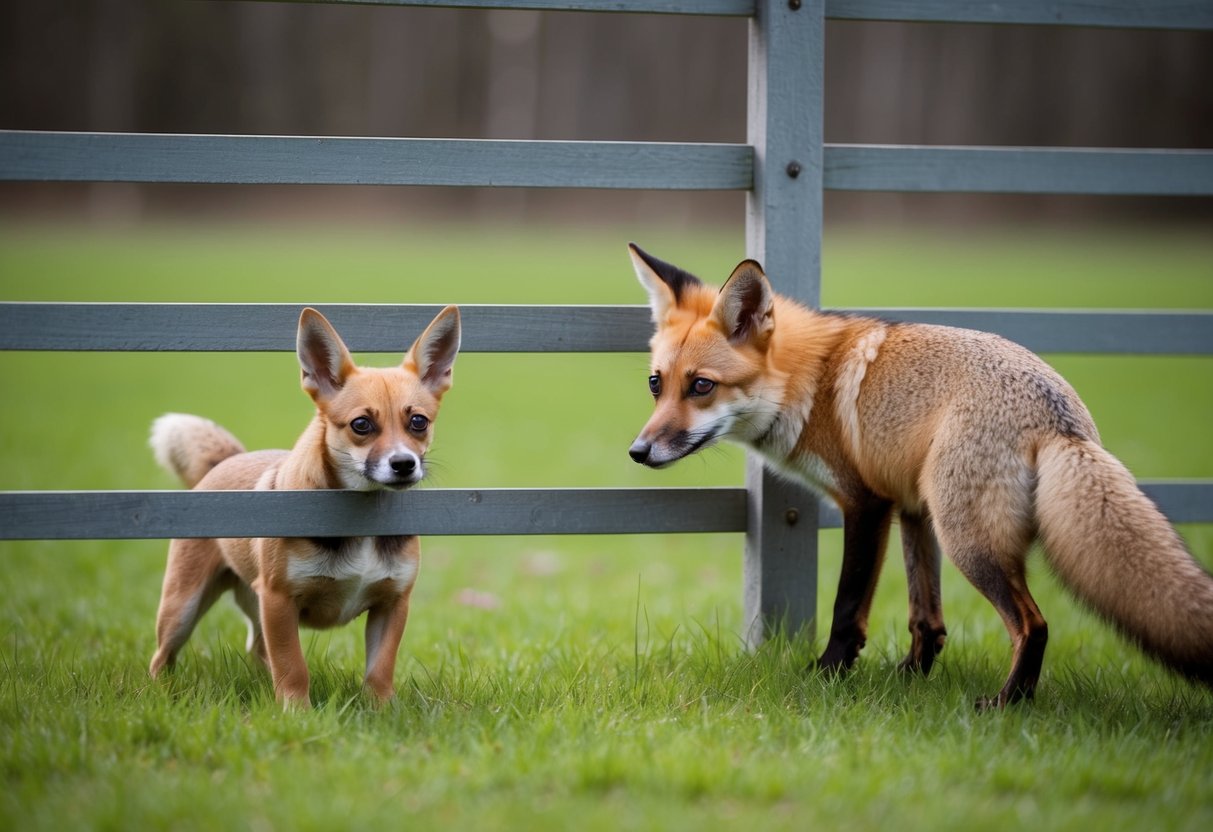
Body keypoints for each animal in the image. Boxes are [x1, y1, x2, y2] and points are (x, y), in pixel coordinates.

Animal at [148, 305, 461, 708]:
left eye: (418, 422)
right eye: (361, 425)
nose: (404, 463)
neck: (360, 519)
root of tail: (225, 461)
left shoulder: (393, 603)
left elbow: (379, 669)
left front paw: (381, 710)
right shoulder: (279, 602)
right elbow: (293, 665)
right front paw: (296, 712)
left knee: (257, 649)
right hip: (182, 608)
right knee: (163, 656)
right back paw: (160, 693)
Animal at [625, 242, 1213, 707]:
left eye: (702, 386)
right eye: (656, 384)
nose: (638, 451)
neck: (807, 384)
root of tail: (1062, 421)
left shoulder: (865, 503)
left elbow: (847, 607)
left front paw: (827, 675)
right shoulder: (909, 505)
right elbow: (926, 618)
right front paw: (908, 679)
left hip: (969, 541)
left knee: (1034, 624)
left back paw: (1007, 703)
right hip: (949, 520)